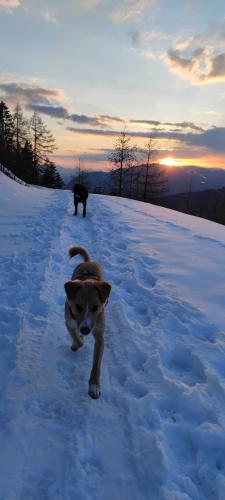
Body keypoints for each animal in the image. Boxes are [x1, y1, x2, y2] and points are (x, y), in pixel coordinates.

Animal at [63, 245, 111, 398]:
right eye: (78, 306)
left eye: (95, 307)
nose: (85, 330)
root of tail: (88, 261)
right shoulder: (69, 323)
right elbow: (78, 340)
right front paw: (76, 343)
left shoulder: (100, 336)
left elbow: (96, 364)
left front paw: (94, 386)